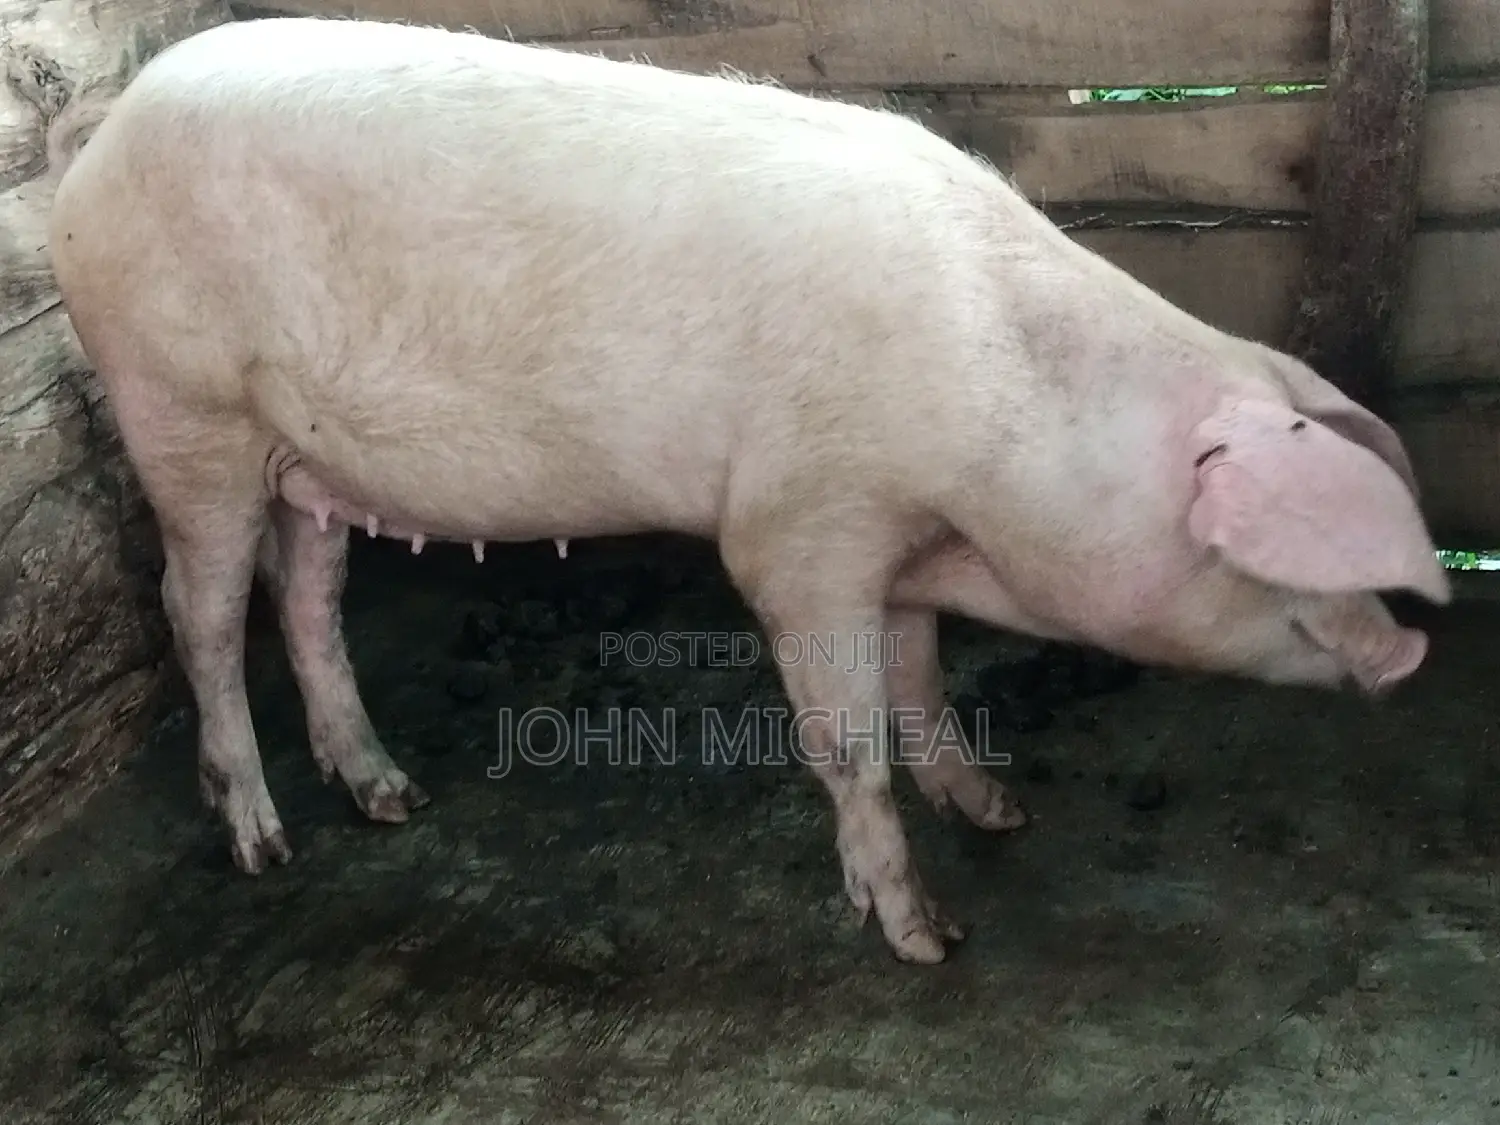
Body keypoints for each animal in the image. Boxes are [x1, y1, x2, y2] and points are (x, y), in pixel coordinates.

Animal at [45, 15, 1449, 964]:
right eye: (1265, 539)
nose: (1409, 654)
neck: (1003, 416)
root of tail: (99, 140)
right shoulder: (801, 525)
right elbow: (850, 732)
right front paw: (927, 937)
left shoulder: (898, 542)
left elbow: (922, 682)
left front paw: (1002, 814)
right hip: (181, 414)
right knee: (199, 616)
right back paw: (263, 842)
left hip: (304, 460)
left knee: (309, 599)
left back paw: (393, 799)